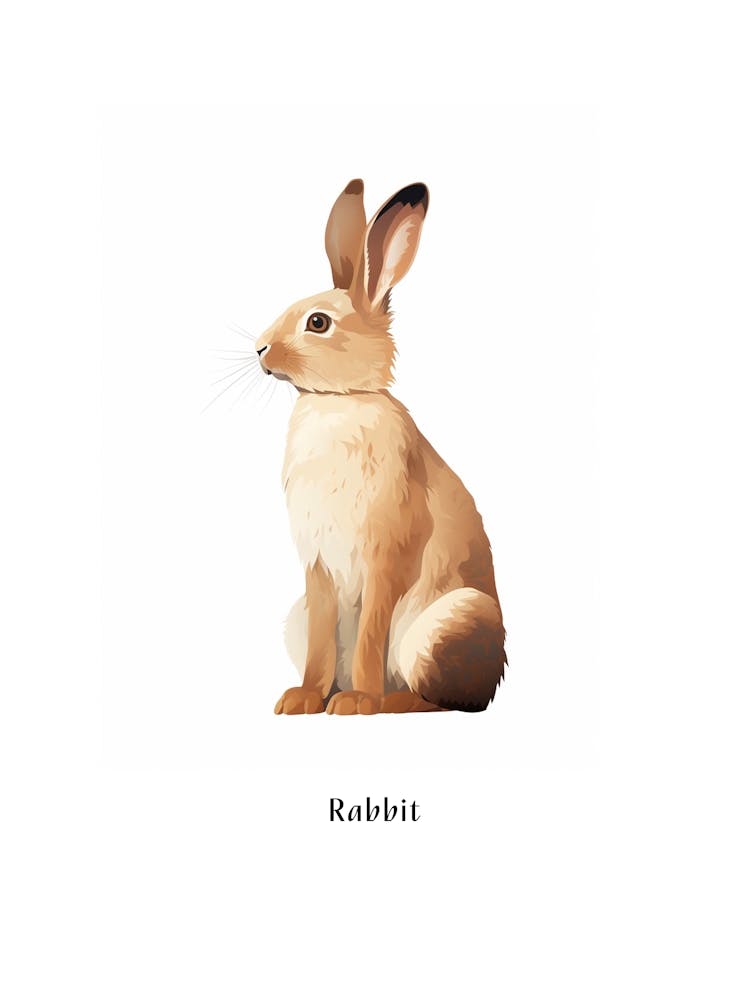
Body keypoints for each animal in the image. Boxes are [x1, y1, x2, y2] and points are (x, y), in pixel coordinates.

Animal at [255, 179, 507, 715]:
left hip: (447, 626)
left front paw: (358, 702)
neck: (339, 400)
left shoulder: (386, 554)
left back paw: (388, 701)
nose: (260, 349)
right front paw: (302, 699)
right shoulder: (317, 568)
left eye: (318, 323)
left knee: (448, 700)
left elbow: (372, 631)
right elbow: (322, 643)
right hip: (298, 616)